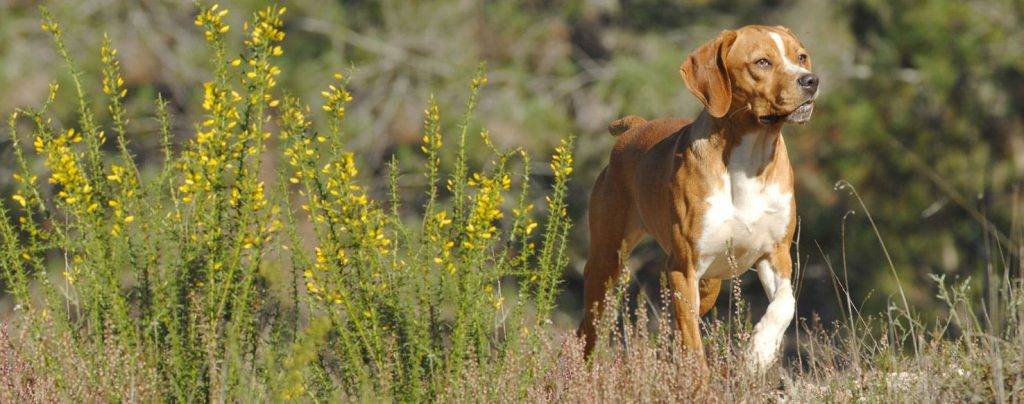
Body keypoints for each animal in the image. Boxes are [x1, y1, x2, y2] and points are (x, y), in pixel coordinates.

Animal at [581, 26, 819, 374]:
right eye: (762, 62)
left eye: (801, 57)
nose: (811, 80)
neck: (749, 161)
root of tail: (635, 128)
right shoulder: (684, 266)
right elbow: (693, 346)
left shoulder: (775, 254)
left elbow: (786, 303)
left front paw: (759, 351)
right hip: (607, 260)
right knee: (589, 327)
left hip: (709, 284)